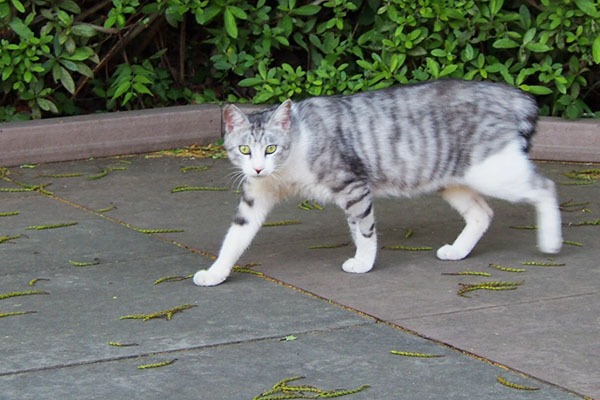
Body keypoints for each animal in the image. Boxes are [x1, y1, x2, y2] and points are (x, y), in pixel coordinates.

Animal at [193, 78, 564, 286]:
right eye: (244, 149)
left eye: (271, 148)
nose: (257, 169)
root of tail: (513, 93)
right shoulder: (255, 198)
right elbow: (234, 239)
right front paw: (216, 273)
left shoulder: (352, 185)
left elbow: (365, 230)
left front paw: (364, 263)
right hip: (451, 177)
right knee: (481, 213)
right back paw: (457, 251)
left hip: (493, 170)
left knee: (546, 187)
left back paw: (550, 242)